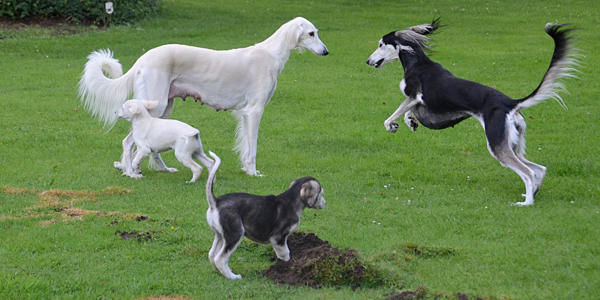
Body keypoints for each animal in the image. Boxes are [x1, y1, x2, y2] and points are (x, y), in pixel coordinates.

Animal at [204, 151, 326, 280]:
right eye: (321, 193)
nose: (325, 203)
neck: (291, 200)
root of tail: (216, 202)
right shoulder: (278, 238)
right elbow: (285, 254)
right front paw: (287, 266)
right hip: (235, 234)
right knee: (220, 259)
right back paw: (233, 277)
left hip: (220, 235)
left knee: (212, 255)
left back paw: (220, 272)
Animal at [366, 19, 576, 206]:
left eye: (380, 44)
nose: (368, 61)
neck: (417, 62)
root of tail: (509, 103)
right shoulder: (415, 101)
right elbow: (407, 112)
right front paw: (410, 121)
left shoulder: (414, 95)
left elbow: (394, 114)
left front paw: (392, 125)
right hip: (513, 143)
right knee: (540, 169)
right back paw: (532, 193)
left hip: (496, 143)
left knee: (528, 173)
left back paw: (526, 203)